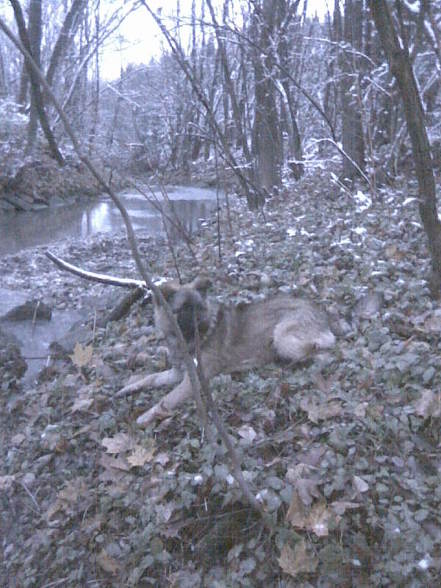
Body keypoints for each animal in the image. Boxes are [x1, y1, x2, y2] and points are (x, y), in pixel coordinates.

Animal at [118, 276, 336, 422]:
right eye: (185, 309)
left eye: (200, 307)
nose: (203, 324)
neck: (186, 342)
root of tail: (323, 314)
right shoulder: (177, 373)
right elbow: (150, 377)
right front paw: (127, 388)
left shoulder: (193, 380)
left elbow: (166, 398)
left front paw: (146, 415)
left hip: (281, 335)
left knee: (325, 353)